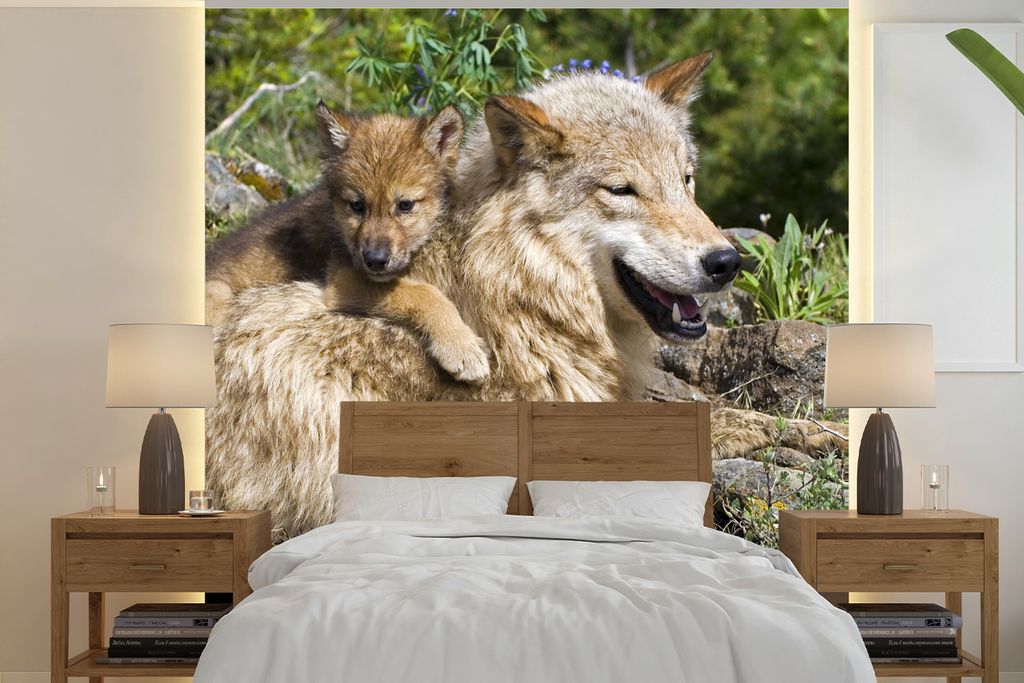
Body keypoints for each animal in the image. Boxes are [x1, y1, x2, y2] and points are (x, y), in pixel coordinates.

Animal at [206, 103, 489, 382]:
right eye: (357, 205)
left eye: (405, 205)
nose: (375, 260)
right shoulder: (343, 278)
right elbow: (423, 293)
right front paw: (461, 346)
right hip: (220, 293)